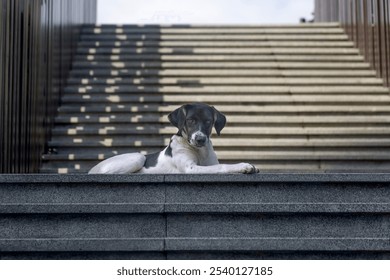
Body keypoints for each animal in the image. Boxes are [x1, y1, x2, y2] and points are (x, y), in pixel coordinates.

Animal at [88, 101, 258, 174]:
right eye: (190, 121)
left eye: (208, 122)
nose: (200, 139)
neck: (199, 151)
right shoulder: (190, 168)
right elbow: (221, 167)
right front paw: (243, 166)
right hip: (137, 157)